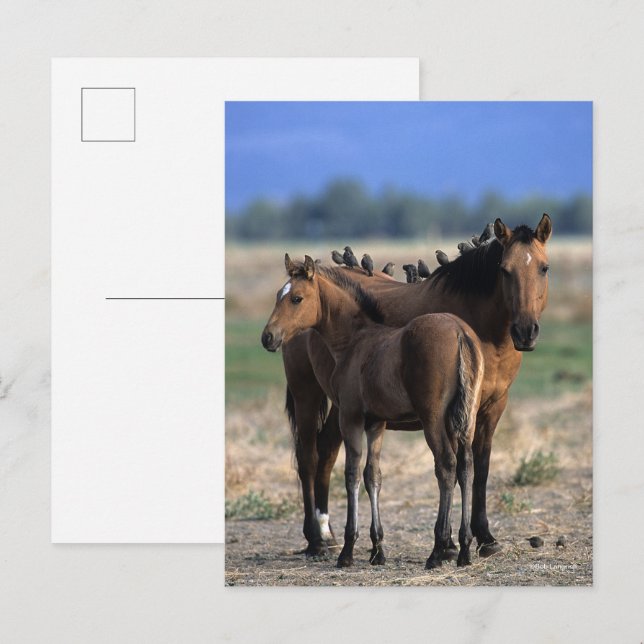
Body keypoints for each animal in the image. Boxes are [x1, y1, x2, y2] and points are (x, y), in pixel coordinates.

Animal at [262, 255, 485, 568]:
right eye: (277, 296)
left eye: (296, 298)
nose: (268, 337)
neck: (355, 341)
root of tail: (460, 332)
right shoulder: (377, 423)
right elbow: (373, 476)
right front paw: (378, 548)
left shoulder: (351, 418)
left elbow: (352, 474)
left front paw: (348, 550)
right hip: (466, 418)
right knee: (466, 467)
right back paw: (464, 548)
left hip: (432, 419)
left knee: (446, 466)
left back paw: (438, 549)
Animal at [279, 215, 552, 558]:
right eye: (504, 269)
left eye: (544, 268)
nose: (526, 331)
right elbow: (452, 466)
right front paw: (452, 541)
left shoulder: (491, 407)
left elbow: (480, 467)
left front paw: (483, 537)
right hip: (307, 393)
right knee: (308, 457)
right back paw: (315, 538)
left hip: (343, 405)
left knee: (327, 451)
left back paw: (328, 532)